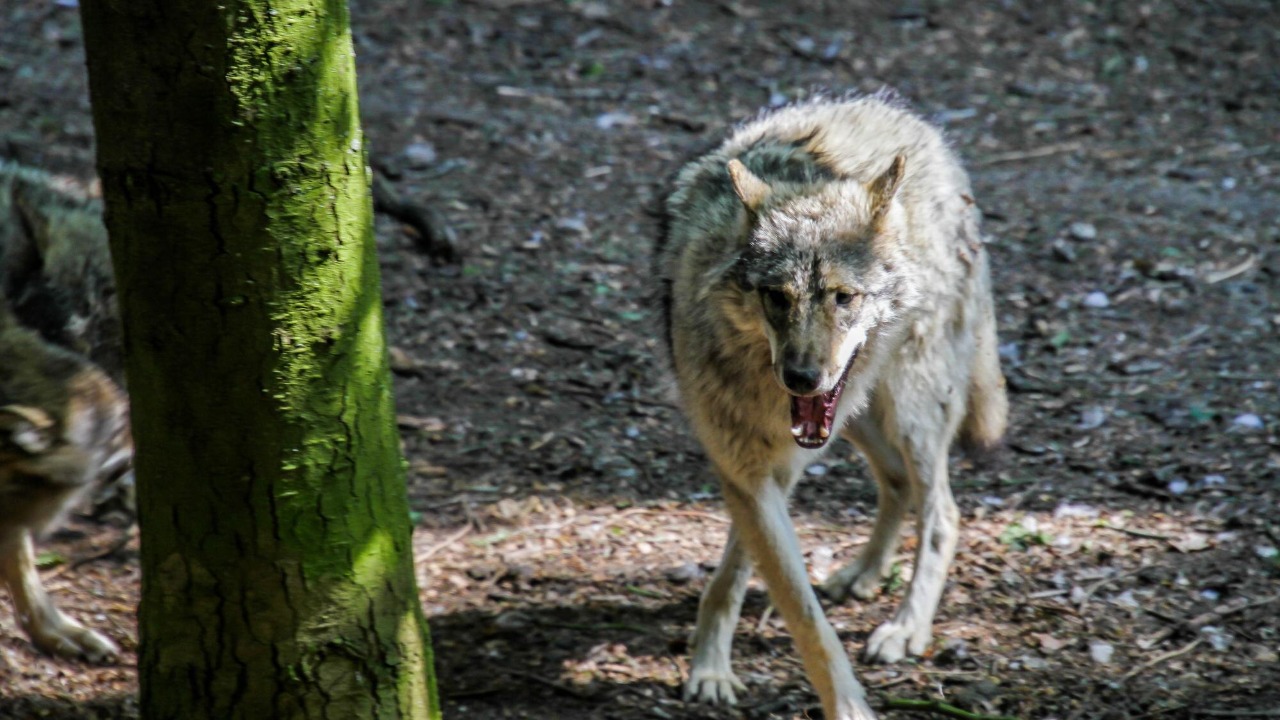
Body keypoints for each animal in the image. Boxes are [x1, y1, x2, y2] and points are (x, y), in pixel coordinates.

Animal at [654, 95, 1008, 719]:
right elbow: (776, 593)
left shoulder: (778, 465)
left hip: (910, 409)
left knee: (942, 512)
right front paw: (711, 665)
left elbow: (781, 595)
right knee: (896, 481)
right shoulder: (748, 471)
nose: (800, 377)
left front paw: (847, 707)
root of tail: (914, 124)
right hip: (857, 418)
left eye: (844, 298)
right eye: (777, 298)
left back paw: (906, 626)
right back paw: (863, 575)